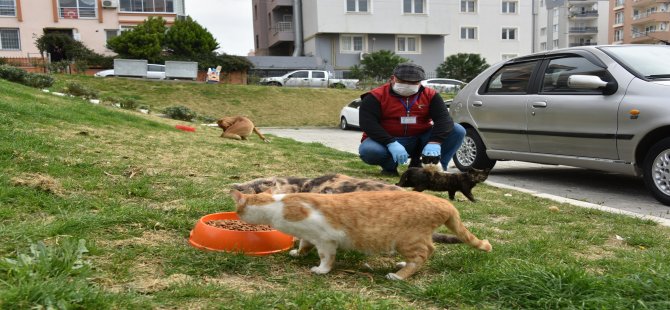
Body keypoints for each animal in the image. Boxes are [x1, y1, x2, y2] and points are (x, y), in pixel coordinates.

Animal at [231, 190, 494, 280]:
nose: (237, 215)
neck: (279, 204)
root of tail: (443, 203)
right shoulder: (308, 235)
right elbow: (305, 244)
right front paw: (298, 253)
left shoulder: (326, 239)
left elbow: (326, 258)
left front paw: (321, 270)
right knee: (429, 252)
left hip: (407, 240)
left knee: (424, 254)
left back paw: (399, 275)